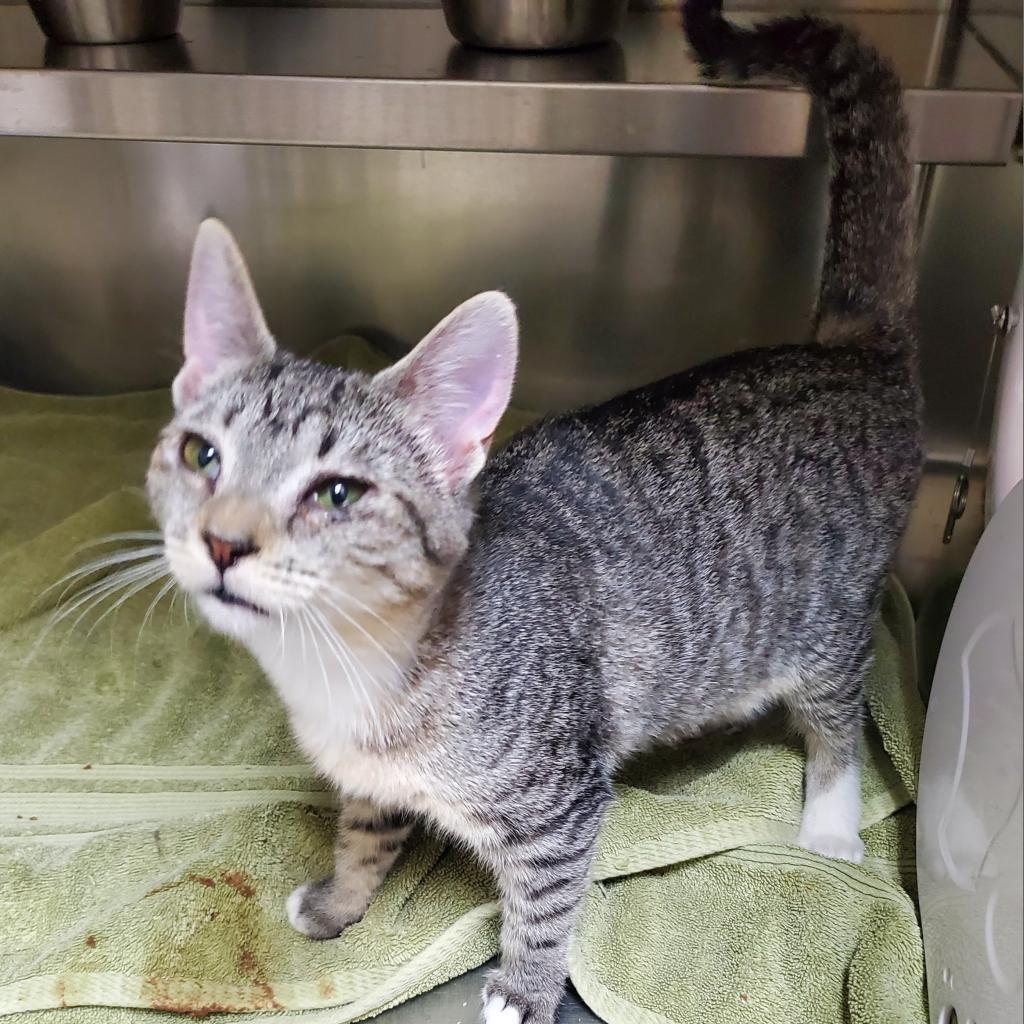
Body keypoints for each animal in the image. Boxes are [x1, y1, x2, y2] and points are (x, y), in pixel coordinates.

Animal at [148, 4, 925, 1019]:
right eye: (201, 456)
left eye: (338, 493)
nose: (223, 541)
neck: (343, 670)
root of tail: (847, 356)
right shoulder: (371, 782)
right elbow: (365, 831)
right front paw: (340, 900)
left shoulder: (561, 799)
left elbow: (547, 904)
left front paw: (521, 990)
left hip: (828, 618)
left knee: (838, 713)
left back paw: (830, 823)